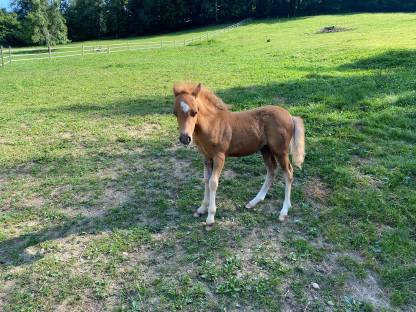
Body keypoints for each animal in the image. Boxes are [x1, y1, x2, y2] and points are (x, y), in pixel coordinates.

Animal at [173, 83, 306, 229]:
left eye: (195, 112)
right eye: (175, 113)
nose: (185, 138)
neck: (213, 124)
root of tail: (290, 116)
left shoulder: (219, 156)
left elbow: (213, 182)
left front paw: (210, 217)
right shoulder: (206, 157)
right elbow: (206, 180)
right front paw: (202, 209)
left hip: (280, 150)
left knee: (288, 173)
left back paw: (284, 210)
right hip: (265, 149)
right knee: (271, 170)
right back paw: (254, 202)